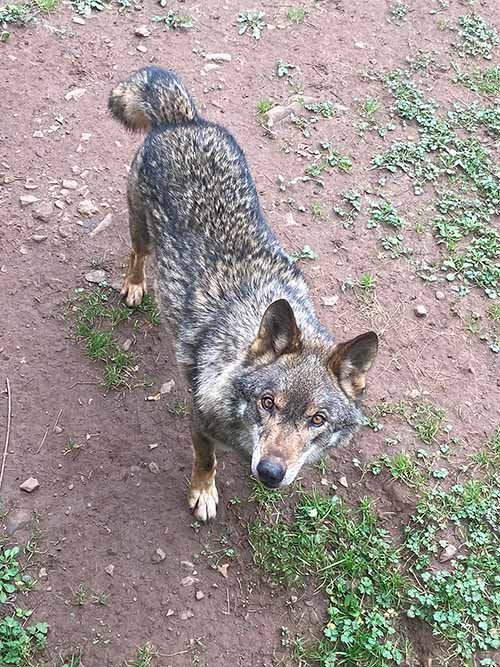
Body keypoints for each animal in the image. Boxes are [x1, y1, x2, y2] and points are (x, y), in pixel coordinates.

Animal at [108, 67, 378, 522]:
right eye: (268, 403)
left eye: (317, 420)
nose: (270, 472)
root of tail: (182, 121)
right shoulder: (200, 421)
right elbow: (205, 461)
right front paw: (203, 494)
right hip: (141, 232)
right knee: (136, 254)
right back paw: (133, 286)